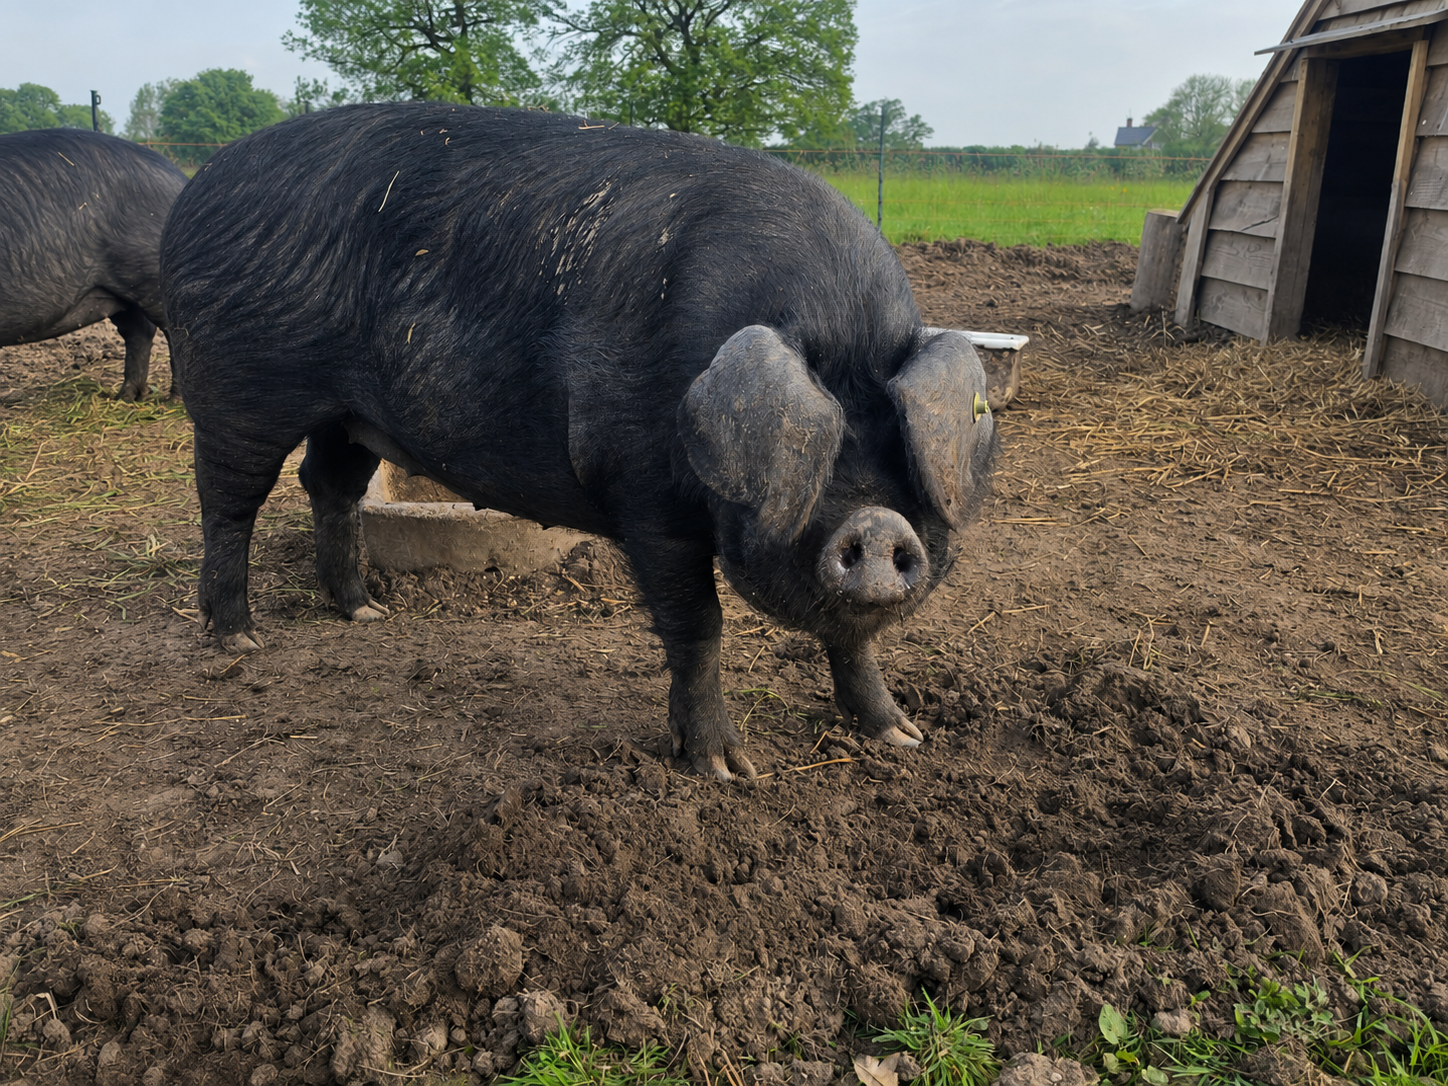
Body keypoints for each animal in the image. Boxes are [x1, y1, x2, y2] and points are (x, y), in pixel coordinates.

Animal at [0, 128, 186, 401]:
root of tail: (180, 177)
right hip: (118, 289)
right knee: (139, 331)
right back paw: (126, 397)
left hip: (151, 276)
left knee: (174, 331)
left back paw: (173, 400)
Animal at [160, 104, 998, 779]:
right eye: (813, 439)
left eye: (896, 441)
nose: (879, 527)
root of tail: (197, 191)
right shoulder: (642, 491)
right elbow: (699, 626)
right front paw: (727, 771)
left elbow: (856, 643)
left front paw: (903, 738)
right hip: (239, 392)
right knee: (228, 505)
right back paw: (238, 641)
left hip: (349, 411)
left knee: (328, 486)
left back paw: (365, 614)